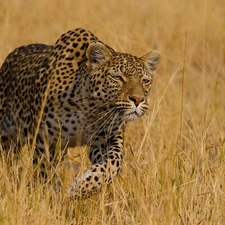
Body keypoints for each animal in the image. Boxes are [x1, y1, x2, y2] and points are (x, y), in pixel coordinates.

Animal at [0, 28, 160, 199]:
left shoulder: (107, 138)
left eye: (145, 80)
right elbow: (45, 171)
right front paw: (52, 195)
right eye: (117, 77)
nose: (138, 99)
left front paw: (81, 188)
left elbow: (114, 163)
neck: (90, 110)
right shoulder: (44, 140)